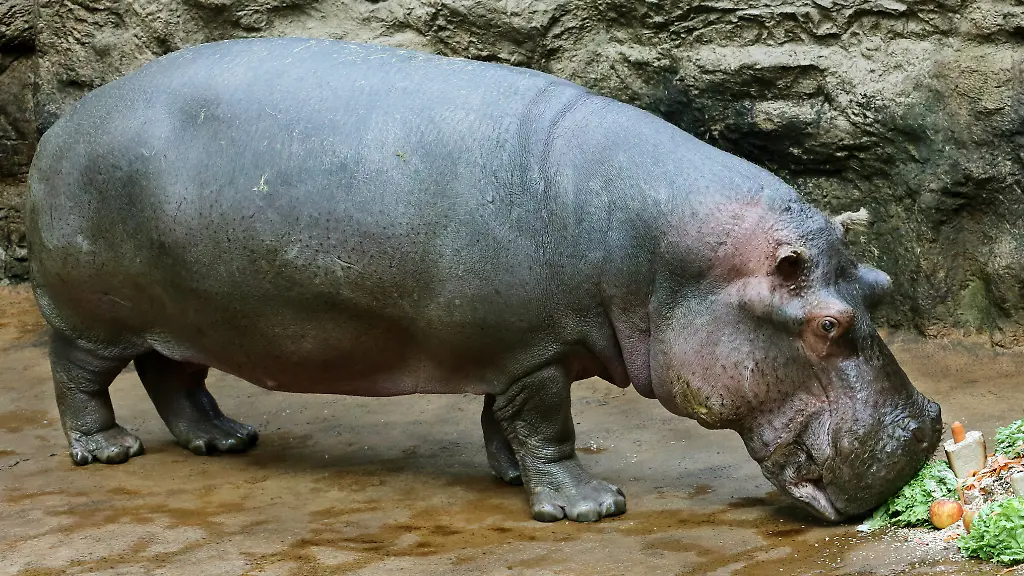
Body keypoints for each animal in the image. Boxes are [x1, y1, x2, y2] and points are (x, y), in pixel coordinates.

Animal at [25, 37, 942, 523]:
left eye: (882, 281)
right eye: (825, 325)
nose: (921, 435)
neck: (664, 257)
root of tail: (64, 121)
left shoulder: (520, 349)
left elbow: (501, 419)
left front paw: (506, 477)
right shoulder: (534, 353)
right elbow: (547, 426)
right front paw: (590, 506)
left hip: (185, 313)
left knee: (173, 373)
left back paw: (224, 438)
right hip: (89, 314)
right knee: (79, 378)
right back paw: (107, 451)